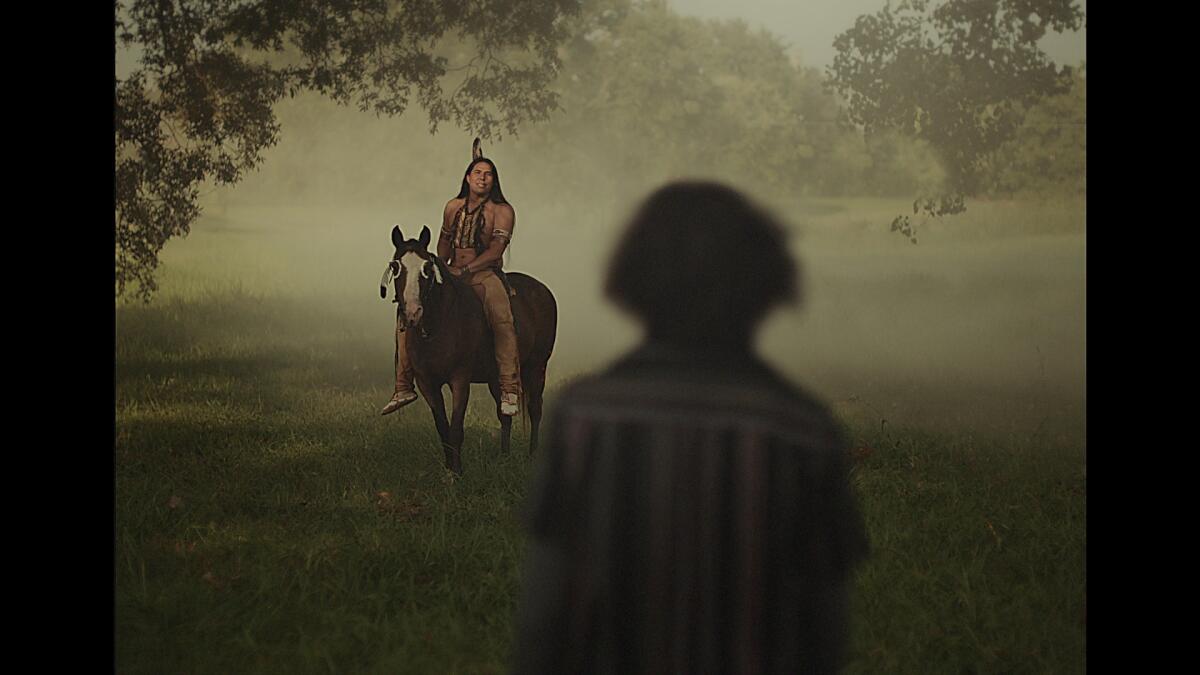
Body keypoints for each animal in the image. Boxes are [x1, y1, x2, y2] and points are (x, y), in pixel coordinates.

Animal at [379, 223, 556, 470]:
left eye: (427, 267)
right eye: (395, 266)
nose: (413, 313)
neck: (438, 324)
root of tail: (543, 290)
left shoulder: (460, 379)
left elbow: (455, 429)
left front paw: (458, 473)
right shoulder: (427, 383)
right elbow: (442, 428)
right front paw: (449, 469)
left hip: (537, 366)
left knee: (535, 409)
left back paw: (533, 456)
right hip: (495, 377)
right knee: (504, 415)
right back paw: (504, 456)